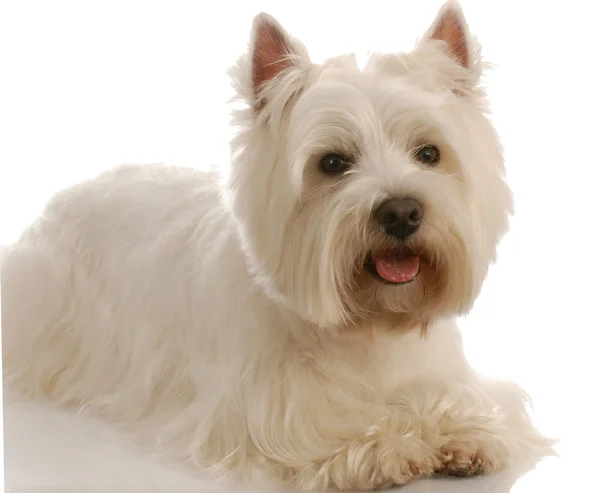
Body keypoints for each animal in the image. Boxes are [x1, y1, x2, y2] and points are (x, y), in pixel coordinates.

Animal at [0, 1, 552, 488]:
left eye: (429, 153)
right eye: (332, 163)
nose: (401, 211)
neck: (368, 327)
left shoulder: (449, 374)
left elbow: (465, 403)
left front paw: (465, 433)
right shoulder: (267, 416)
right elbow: (339, 431)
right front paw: (395, 446)